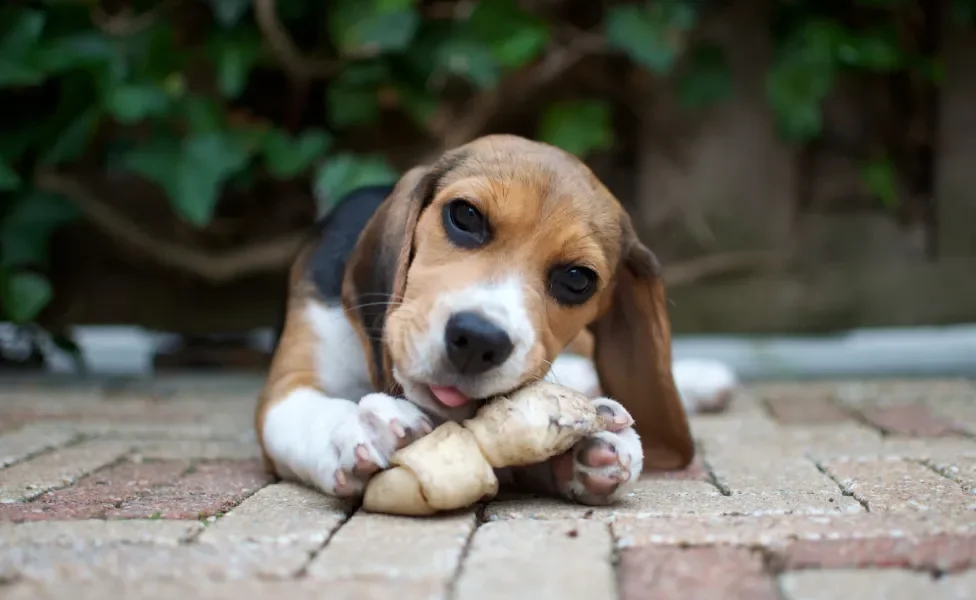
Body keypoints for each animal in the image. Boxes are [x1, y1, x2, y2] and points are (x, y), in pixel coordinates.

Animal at [255, 134, 736, 504]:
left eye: (577, 279)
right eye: (465, 215)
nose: (478, 340)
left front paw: (584, 451)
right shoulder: (287, 388)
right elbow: (312, 413)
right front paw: (355, 424)